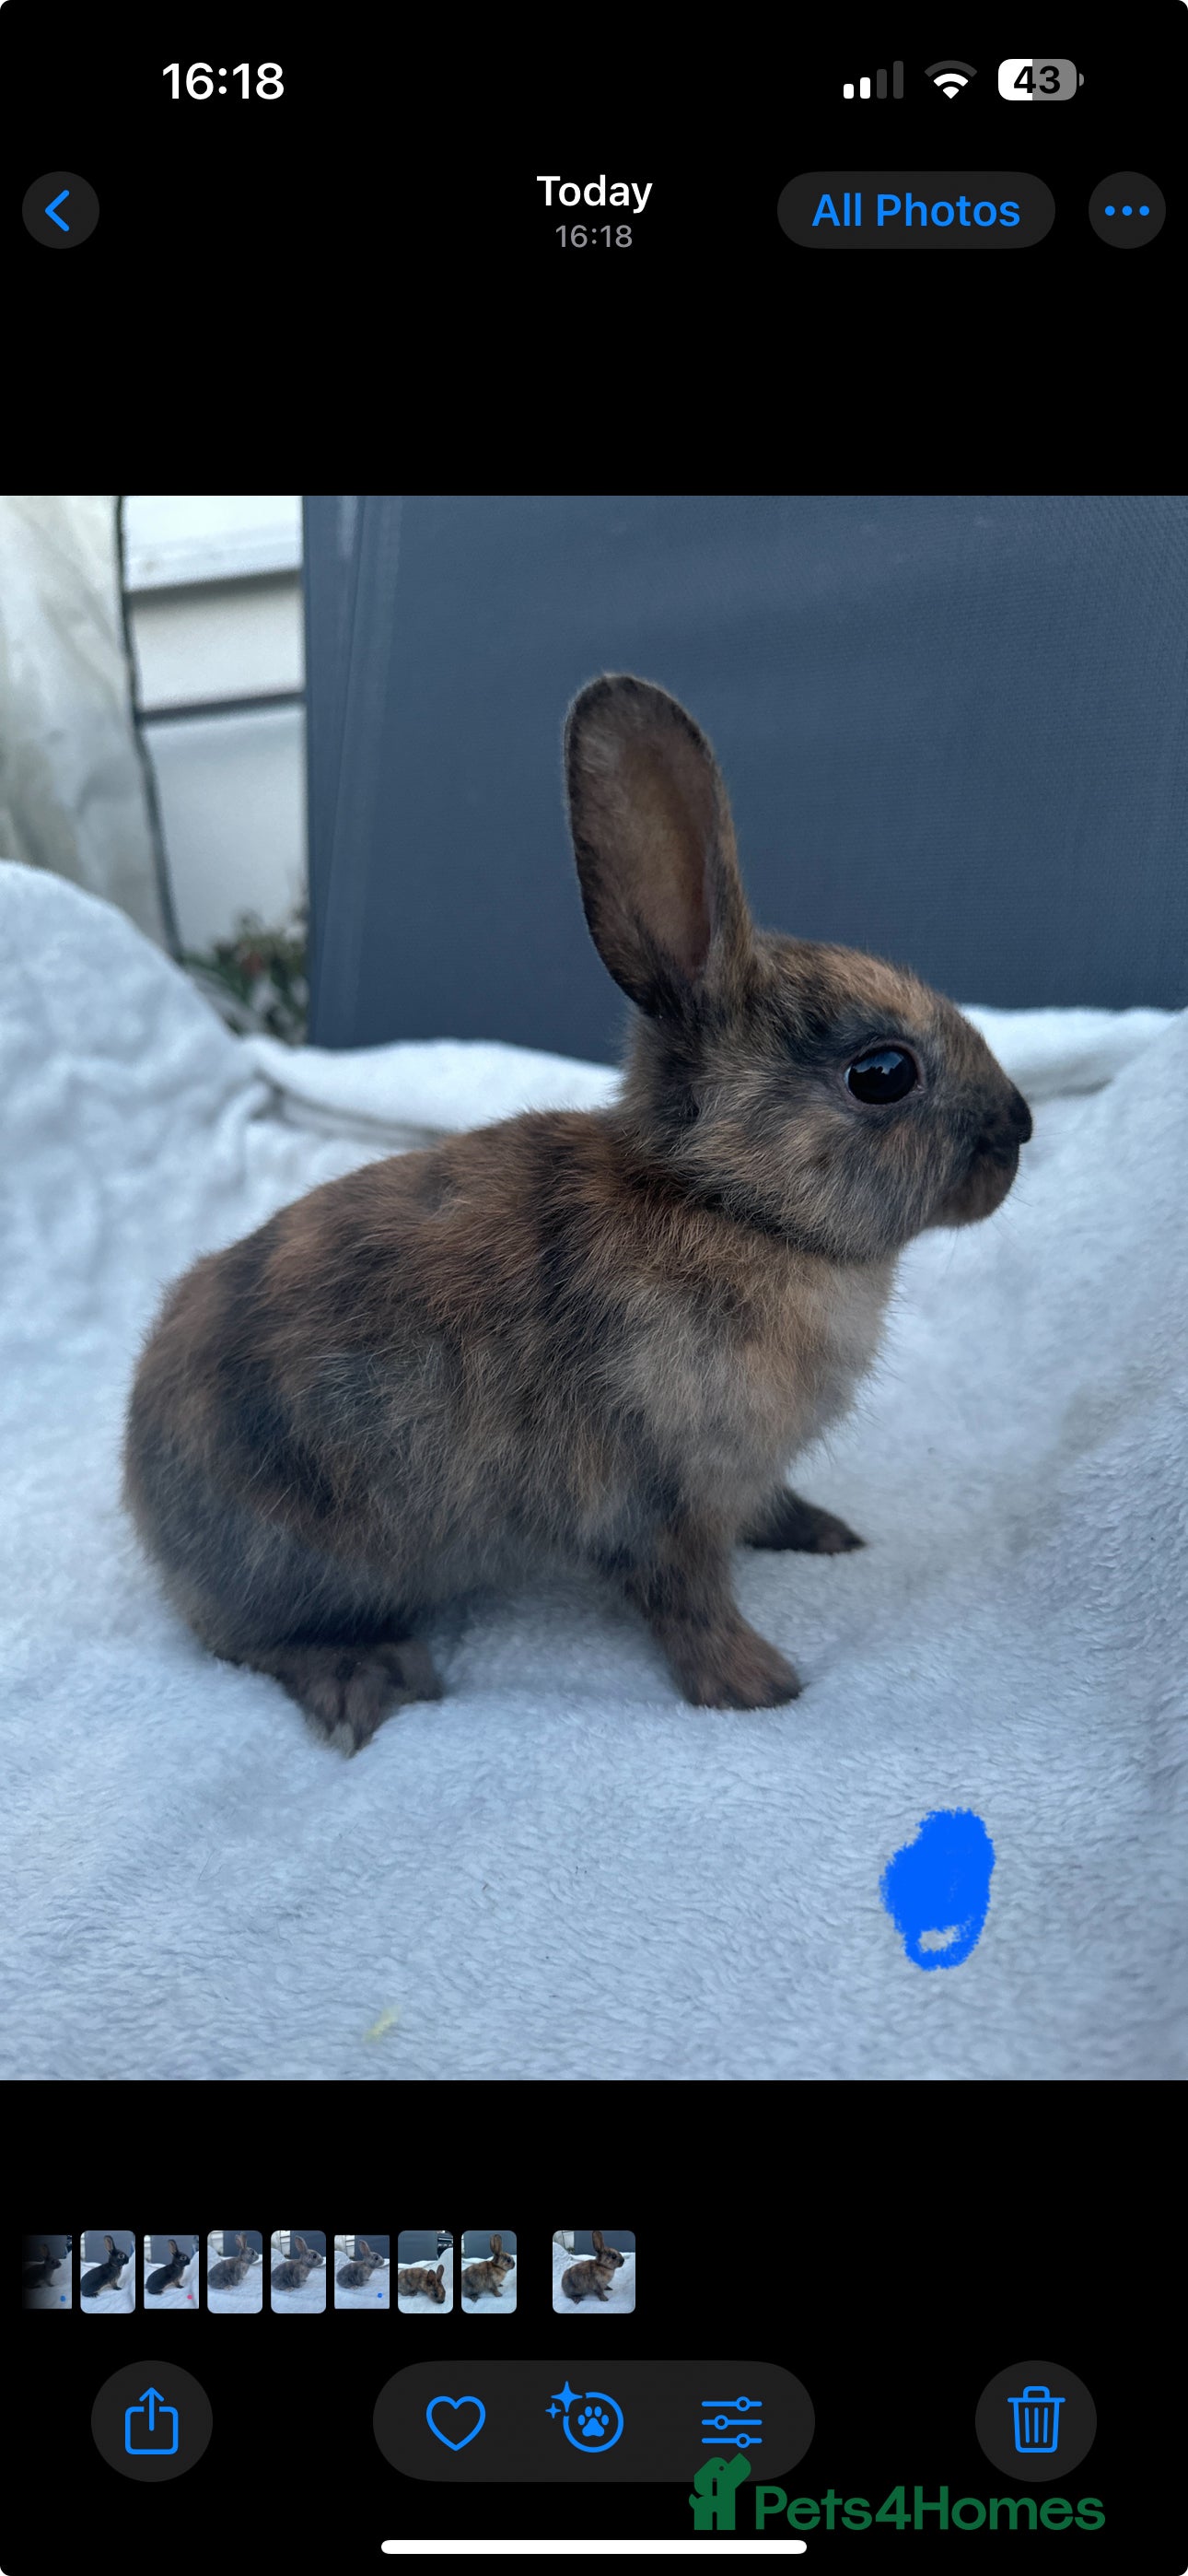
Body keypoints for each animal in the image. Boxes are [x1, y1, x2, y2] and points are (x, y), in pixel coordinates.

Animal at [123, 673, 1032, 1751]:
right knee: (248, 1643)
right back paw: (365, 1678)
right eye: (884, 1074)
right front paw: (760, 1686)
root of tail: (141, 1484)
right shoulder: (656, 1502)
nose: (1020, 1127)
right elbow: (688, 1601)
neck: (727, 1202)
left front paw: (820, 1533)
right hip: (302, 1555)